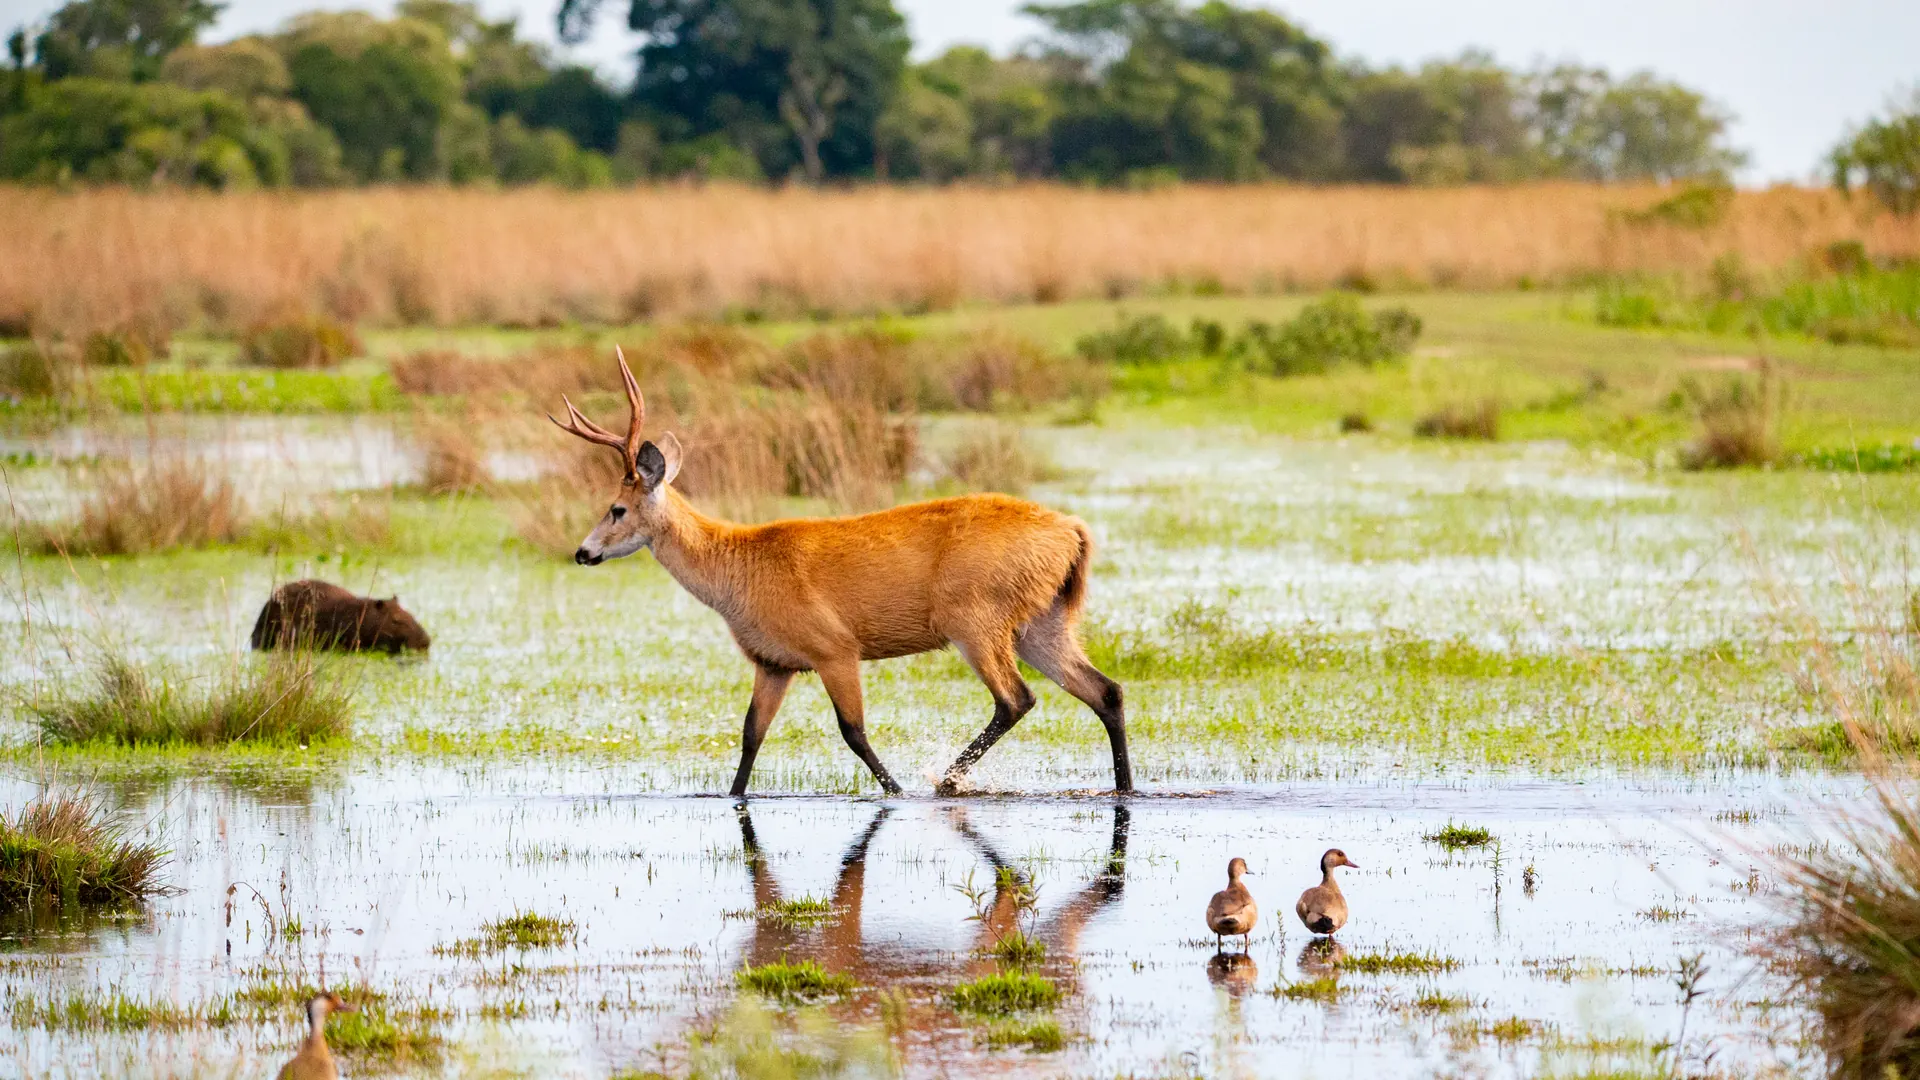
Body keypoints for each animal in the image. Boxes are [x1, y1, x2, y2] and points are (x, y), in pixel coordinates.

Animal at [549, 347, 1132, 798]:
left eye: (616, 508)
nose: (582, 552)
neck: (738, 566)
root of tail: (1072, 529)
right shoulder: (773, 663)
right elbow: (751, 736)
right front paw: (732, 795)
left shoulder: (835, 648)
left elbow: (853, 731)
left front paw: (895, 791)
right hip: (1041, 623)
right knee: (1105, 691)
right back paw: (1124, 786)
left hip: (974, 621)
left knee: (1016, 698)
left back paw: (945, 783)